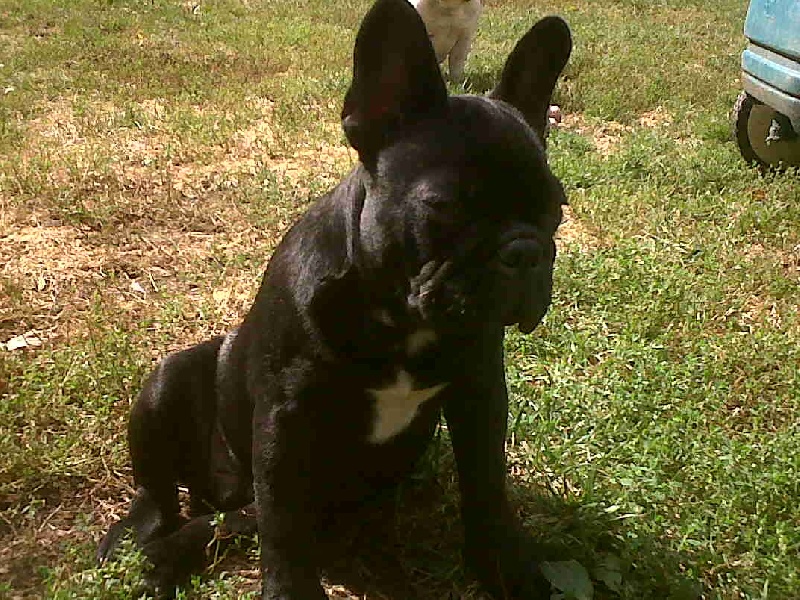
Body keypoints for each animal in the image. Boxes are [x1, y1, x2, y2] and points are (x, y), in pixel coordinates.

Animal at [98, 0, 571, 598]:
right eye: (443, 206)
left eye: (555, 207)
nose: (525, 251)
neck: (400, 319)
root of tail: (222, 492)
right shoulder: (286, 414)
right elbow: (283, 523)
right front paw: (290, 590)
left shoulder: (479, 393)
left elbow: (486, 491)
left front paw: (508, 571)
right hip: (170, 378)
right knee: (161, 494)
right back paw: (139, 544)